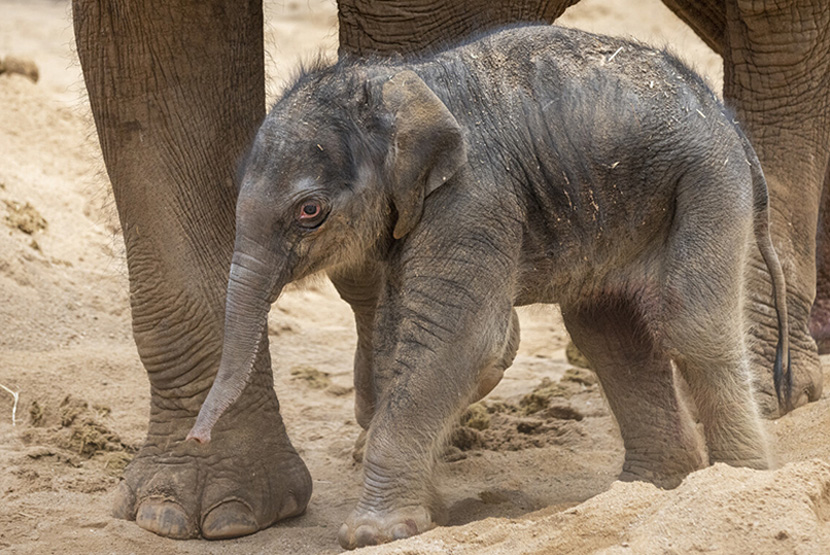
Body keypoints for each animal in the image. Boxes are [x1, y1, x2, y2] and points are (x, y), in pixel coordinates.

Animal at [69, 0, 828, 544]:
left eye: (309, 211)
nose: (197, 434)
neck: (405, 87)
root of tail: (725, 123)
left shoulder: (473, 198)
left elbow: (462, 339)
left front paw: (374, 531)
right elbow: (402, 332)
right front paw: (423, 510)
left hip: (709, 186)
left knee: (689, 324)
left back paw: (735, 485)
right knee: (609, 334)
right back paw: (650, 490)